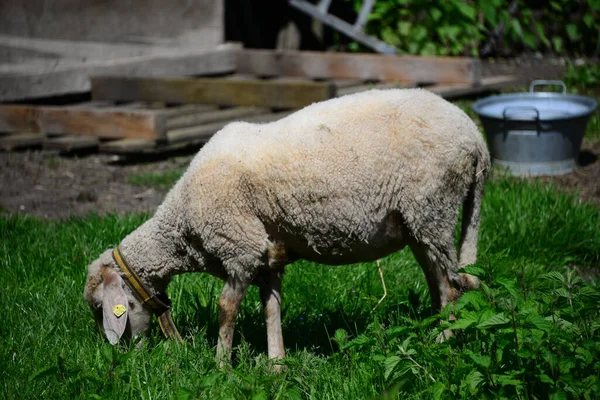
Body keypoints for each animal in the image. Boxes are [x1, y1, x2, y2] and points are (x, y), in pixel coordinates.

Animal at [83, 87, 488, 362]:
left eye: (102, 307)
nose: (123, 355)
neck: (182, 225)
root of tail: (475, 138)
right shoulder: (266, 256)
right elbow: (271, 308)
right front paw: (276, 365)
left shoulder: (240, 248)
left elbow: (226, 308)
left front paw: (221, 365)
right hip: (422, 224)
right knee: (440, 281)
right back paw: (435, 334)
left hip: (432, 207)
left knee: (451, 287)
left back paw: (443, 342)